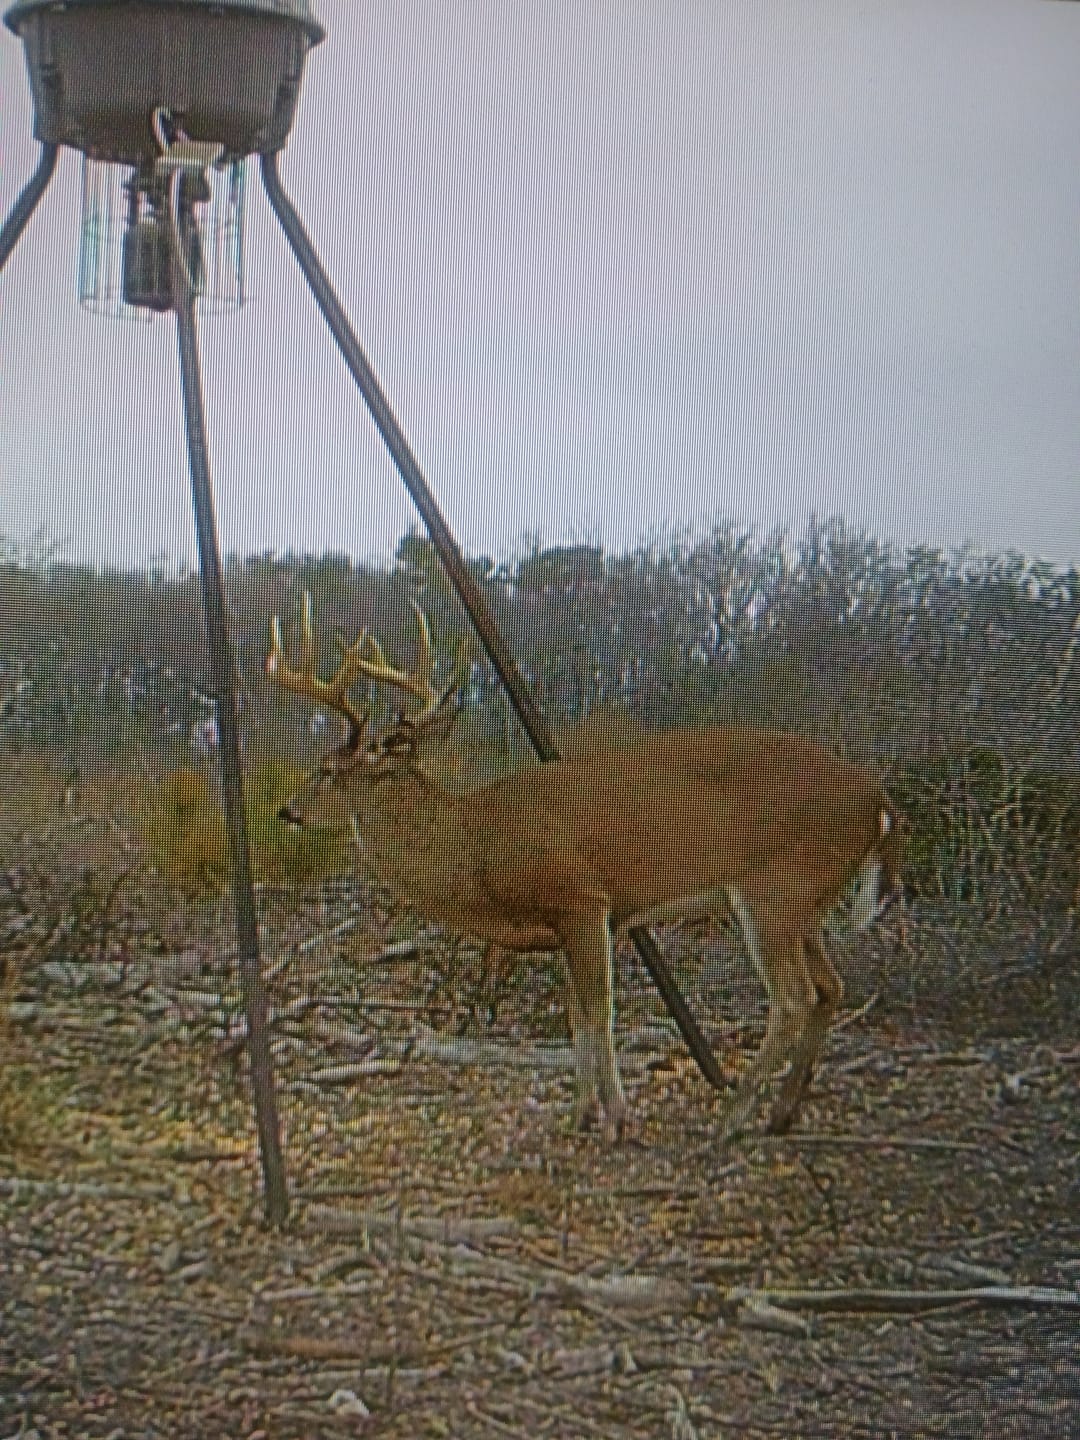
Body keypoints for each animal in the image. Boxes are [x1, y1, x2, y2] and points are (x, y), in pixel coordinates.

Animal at [267, 595, 902, 1143]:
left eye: (328, 771)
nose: (286, 808)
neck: (478, 852)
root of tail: (877, 801)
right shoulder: (570, 922)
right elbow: (576, 1014)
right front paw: (580, 1113)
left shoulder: (581, 900)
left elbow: (599, 1011)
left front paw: (617, 1117)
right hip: (804, 898)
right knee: (830, 987)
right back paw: (781, 1113)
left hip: (775, 888)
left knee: (793, 999)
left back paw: (728, 1122)